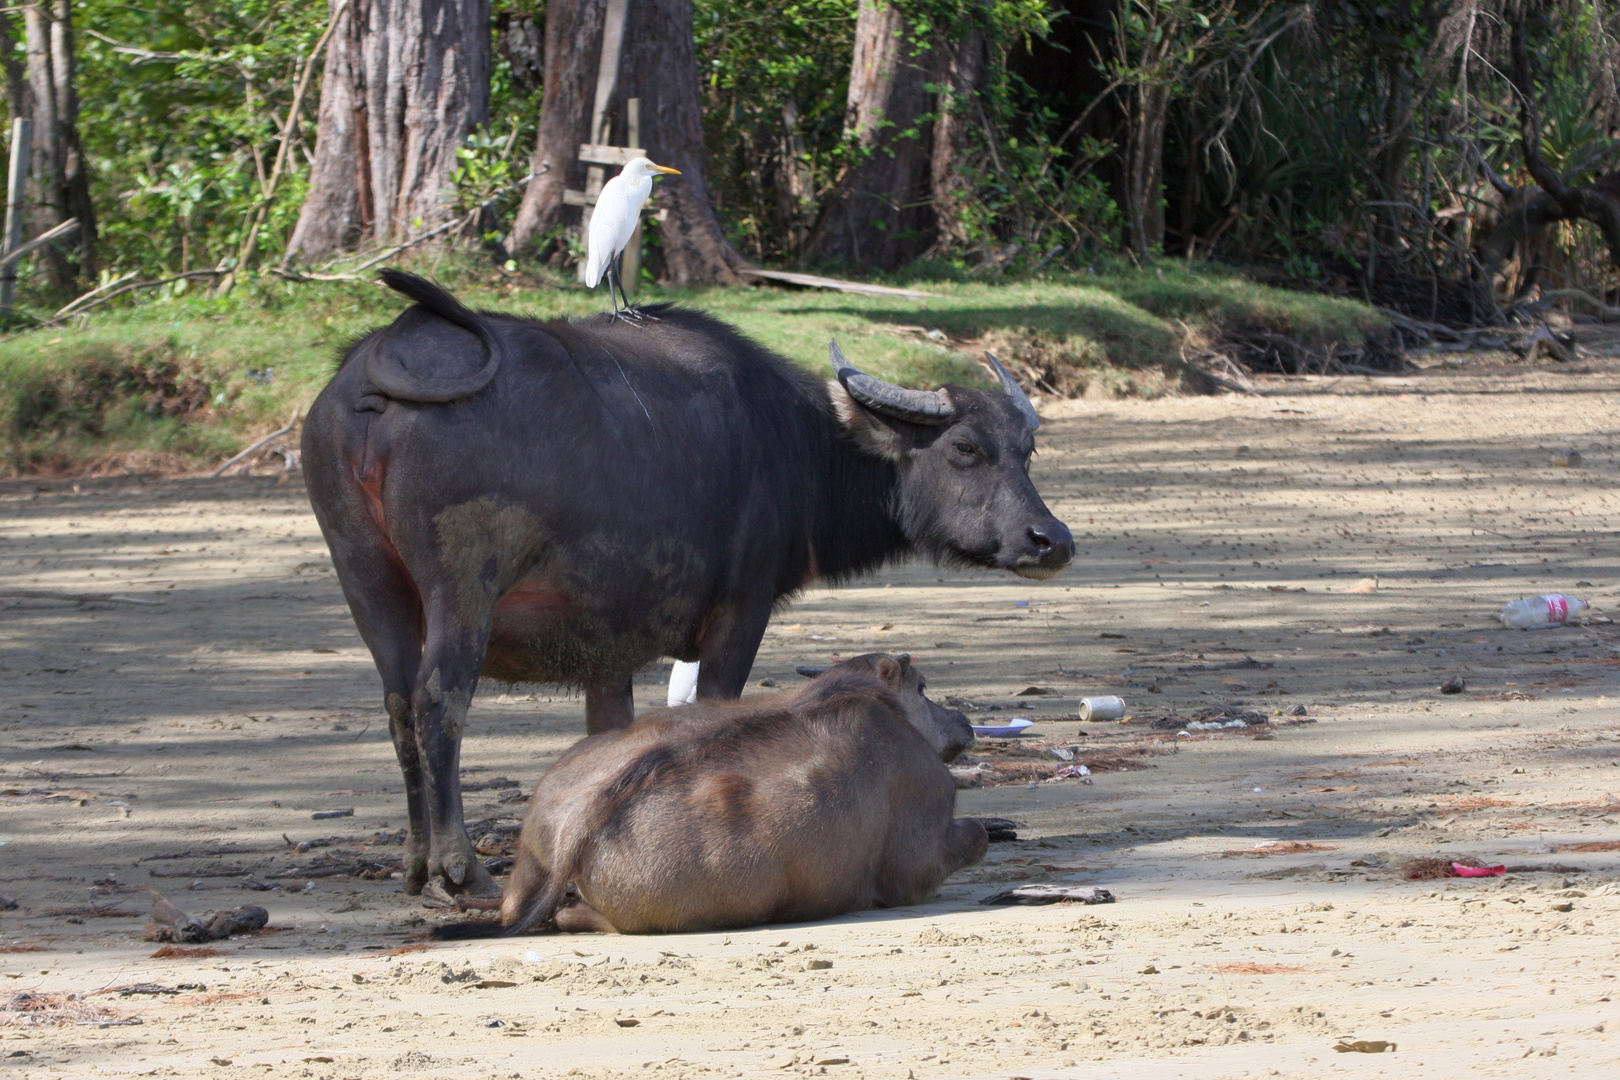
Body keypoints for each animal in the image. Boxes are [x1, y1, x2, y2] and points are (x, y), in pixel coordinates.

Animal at [301, 270, 1075, 893]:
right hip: (462, 587)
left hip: (368, 582)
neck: (791, 445)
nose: (1052, 540)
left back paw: (413, 864)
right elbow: (716, 704)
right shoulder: (742, 609)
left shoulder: (603, 643)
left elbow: (607, 734)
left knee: (398, 702)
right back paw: (457, 864)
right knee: (439, 701)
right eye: (965, 448)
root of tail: (371, 378)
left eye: (1028, 449)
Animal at [440, 654, 984, 932]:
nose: (965, 721)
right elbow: (974, 832)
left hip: (529, 862)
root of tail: (578, 822)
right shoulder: (917, 861)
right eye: (923, 686)